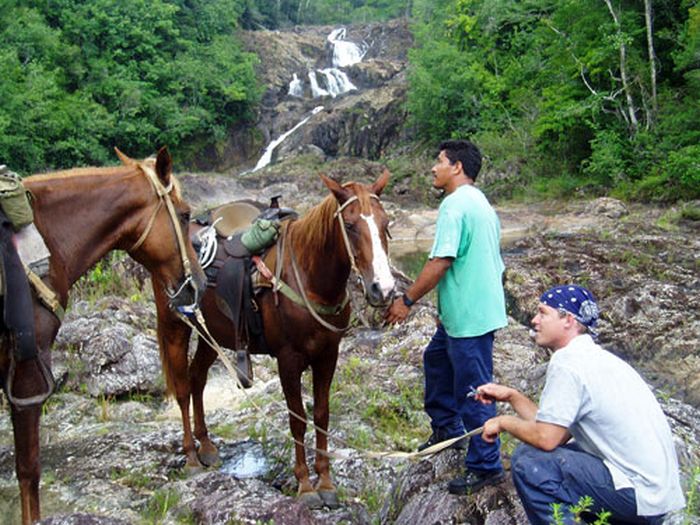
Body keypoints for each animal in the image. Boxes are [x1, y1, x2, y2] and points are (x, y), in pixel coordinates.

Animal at [165, 170, 396, 506]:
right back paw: (192, 457)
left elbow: (322, 415)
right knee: (182, 386)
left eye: (385, 223)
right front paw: (306, 486)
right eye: (351, 225)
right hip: (177, 324)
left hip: (216, 333)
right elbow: (297, 419)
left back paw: (206, 446)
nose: (384, 289)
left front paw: (326, 482)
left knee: (197, 378)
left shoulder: (328, 355)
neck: (311, 279)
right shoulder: (288, 359)